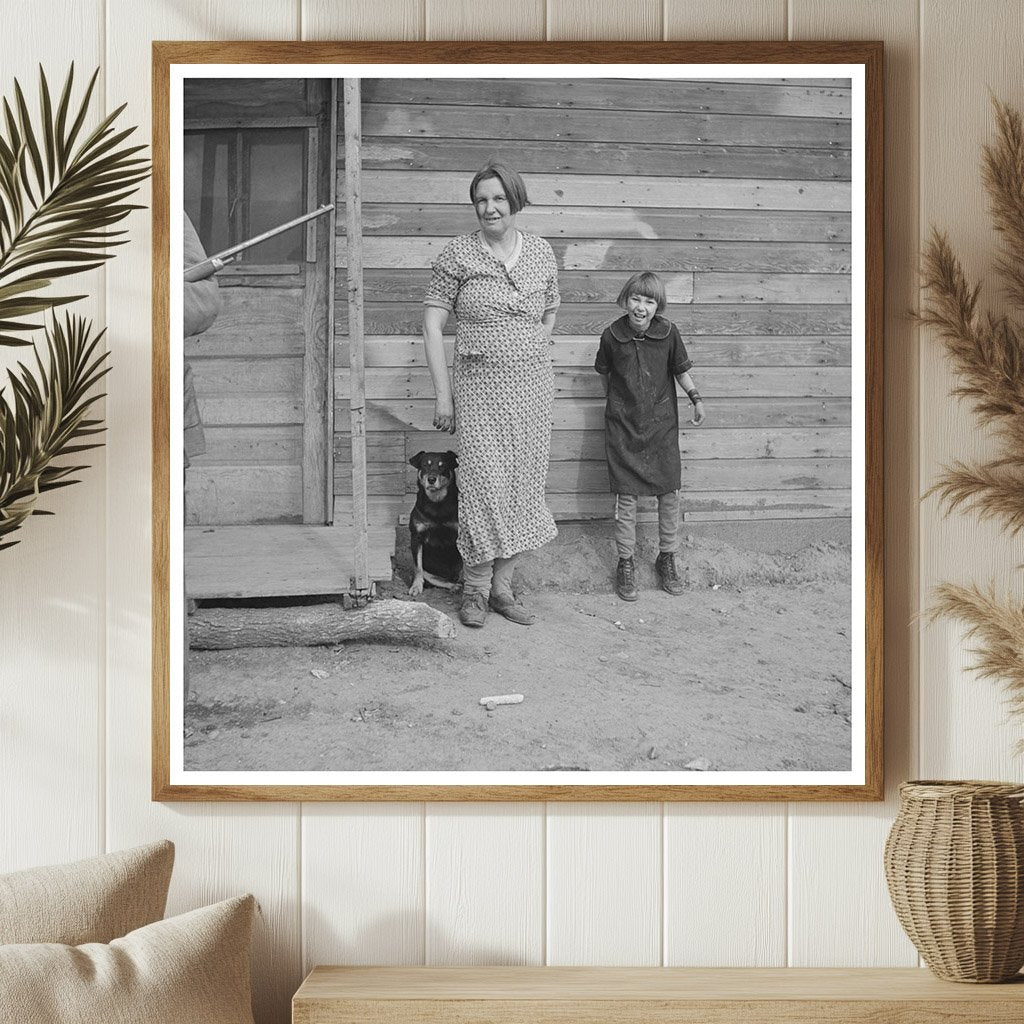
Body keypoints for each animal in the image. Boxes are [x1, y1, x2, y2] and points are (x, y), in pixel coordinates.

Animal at [405, 450, 462, 598]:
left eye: (443, 466)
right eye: (425, 465)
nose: (431, 479)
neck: (437, 503)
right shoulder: (416, 536)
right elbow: (418, 567)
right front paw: (416, 587)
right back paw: (454, 586)